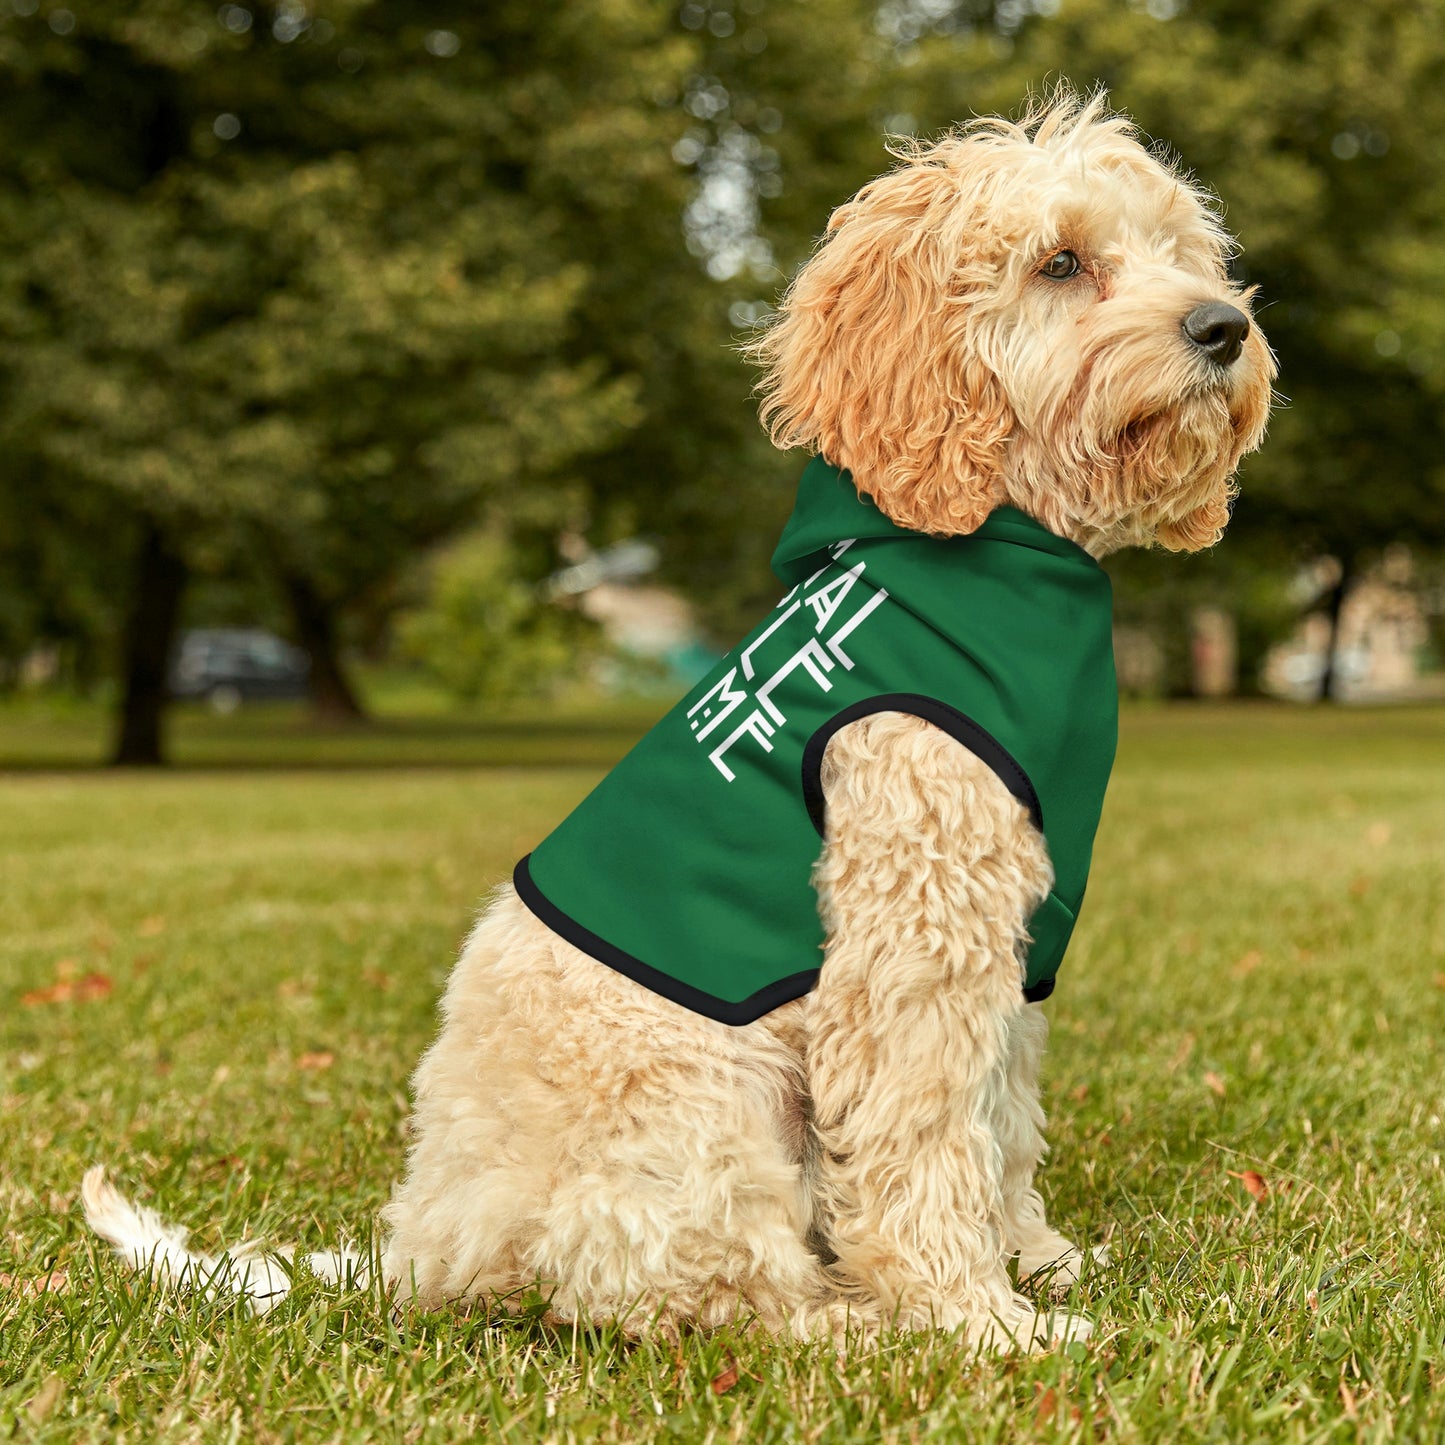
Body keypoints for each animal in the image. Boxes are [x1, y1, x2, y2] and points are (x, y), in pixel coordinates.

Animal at [84, 93, 1271, 1352]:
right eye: (1059, 262)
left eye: (1180, 252)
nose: (1222, 327)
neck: (992, 544)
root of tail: (424, 1245)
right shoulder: (912, 935)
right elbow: (924, 1137)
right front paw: (976, 1318)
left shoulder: (1011, 940)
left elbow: (999, 1119)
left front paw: (1034, 1259)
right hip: (705, 1103)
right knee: (698, 1291)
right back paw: (852, 1322)